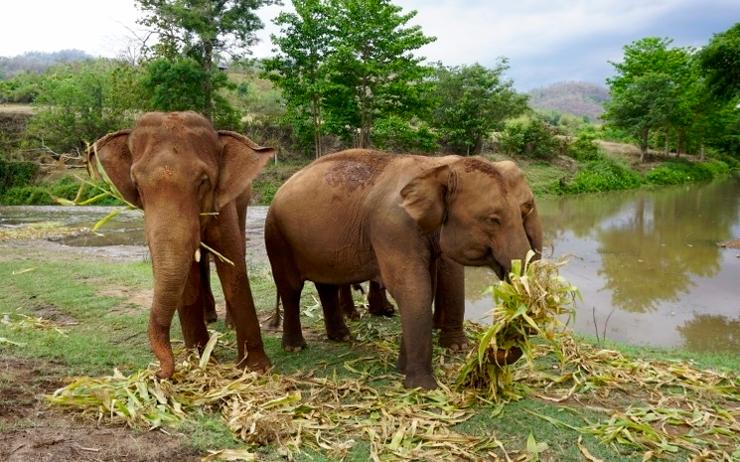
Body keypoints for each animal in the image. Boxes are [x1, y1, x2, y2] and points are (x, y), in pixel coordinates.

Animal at [89, 112, 274, 378]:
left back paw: (227, 323)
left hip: (243, 199)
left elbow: (231, 262)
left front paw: (256, 369)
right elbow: (187, 277)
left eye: (203, 182)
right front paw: (199, 361)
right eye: (137, 186)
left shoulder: (222, 204)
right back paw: (209, 318)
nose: (158, 373)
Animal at [264, 150, 536, 388]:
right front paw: (422, 386)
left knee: (326, 285)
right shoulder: (392, 227)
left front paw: (402, 369)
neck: (435, 167)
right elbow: (411, 286)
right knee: (291, 288)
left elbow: (422, 287)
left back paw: (342, 337)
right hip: (278, 237)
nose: (488, 353)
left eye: (521, 212)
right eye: (492, 219)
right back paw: (295, 347)